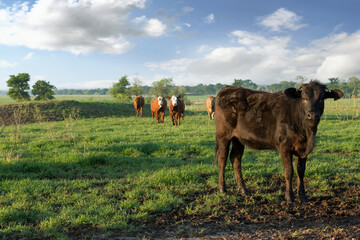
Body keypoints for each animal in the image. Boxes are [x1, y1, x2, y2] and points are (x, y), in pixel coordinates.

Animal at [215, 80, 344, 202]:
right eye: (304, 98)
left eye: (321, 98)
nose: (312, 116)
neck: (306, 133)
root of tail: (228, 88)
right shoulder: (284, 147)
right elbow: (289, 171)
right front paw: (289, 197)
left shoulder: (303, 149)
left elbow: (301, 171)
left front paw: (302, 196)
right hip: (223, 136)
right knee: (222, 158)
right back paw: (222, 189)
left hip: (238, 139)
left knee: (235, 159)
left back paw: (244, 190)